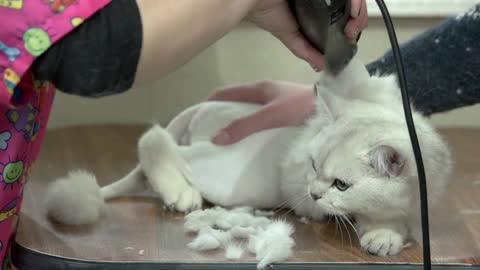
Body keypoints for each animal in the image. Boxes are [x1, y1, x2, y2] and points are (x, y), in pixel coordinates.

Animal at [43, 55, 452, 258]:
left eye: (340, 183)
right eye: (313, 165)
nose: (313, 192)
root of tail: (201, 109)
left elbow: (394, 220)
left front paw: (386, 236)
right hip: (233, 177)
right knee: (154, 141)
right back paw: (179, 192)